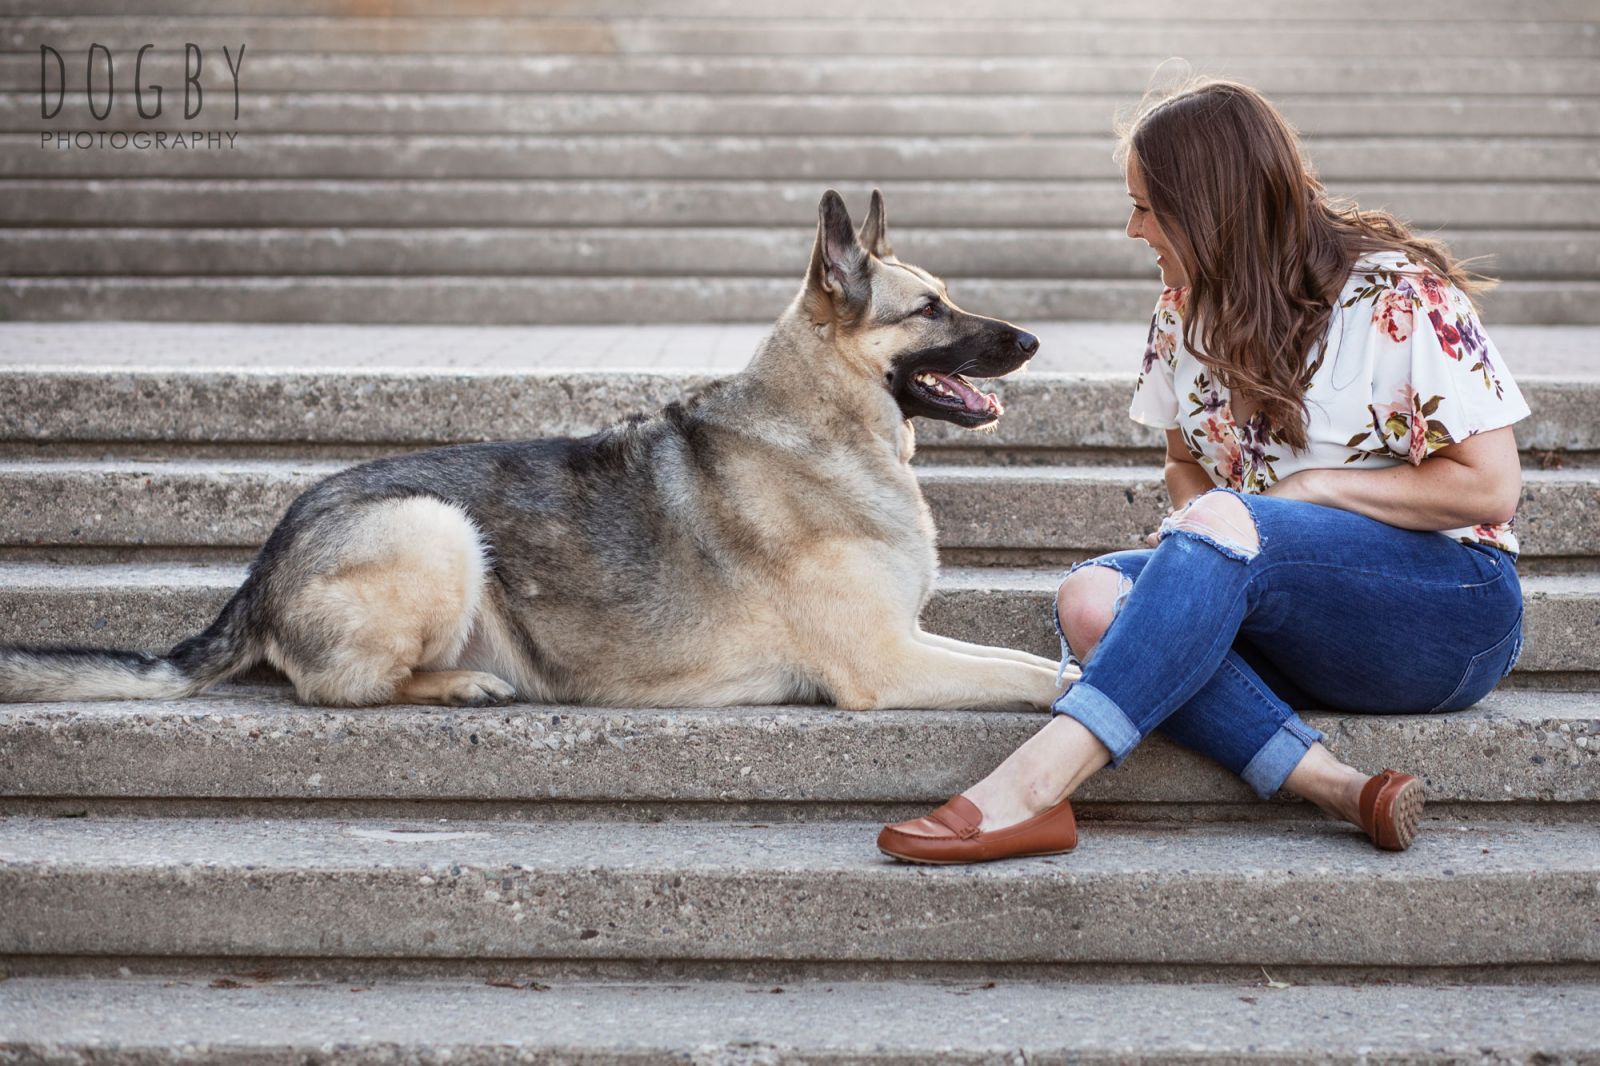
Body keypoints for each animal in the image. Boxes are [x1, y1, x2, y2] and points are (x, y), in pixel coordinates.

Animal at [3, 191, 1075, 710]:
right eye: (929, 310)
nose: (1032, 342)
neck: (820, 426)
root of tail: (264, 565)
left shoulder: (911, 640)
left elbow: (1025, 658)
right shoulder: (886, 665)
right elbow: (1037, 677)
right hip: (434, 526)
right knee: (340, 689)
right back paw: (460, 684)